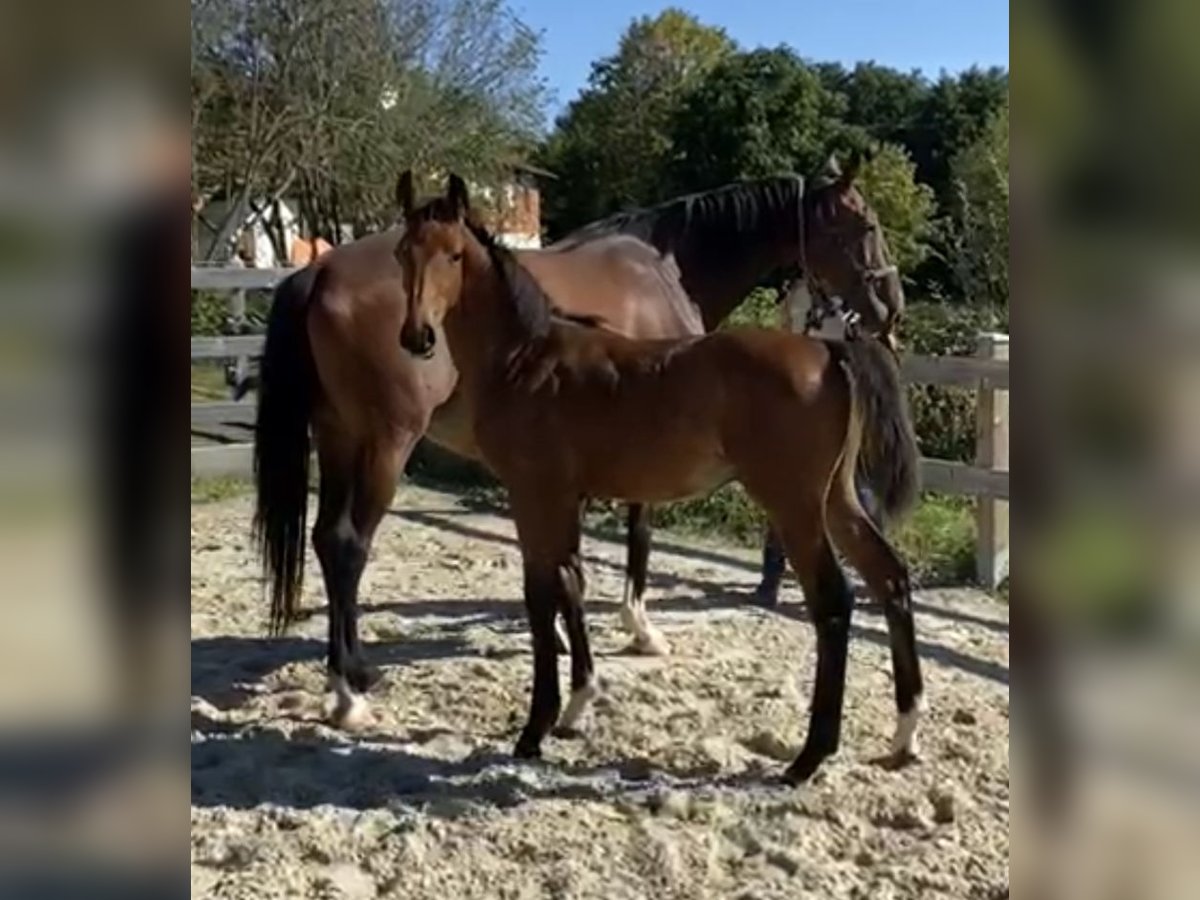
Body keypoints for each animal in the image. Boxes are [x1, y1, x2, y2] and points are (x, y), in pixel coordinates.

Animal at [255, 160, 907, 724]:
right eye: (867, 225)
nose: (890, 306)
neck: (666, 266)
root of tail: (318, 271)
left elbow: (567, 561)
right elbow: (636, 535)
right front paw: (637, 630)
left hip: (338, 436)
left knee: (326, 539)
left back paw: (348, 673)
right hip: (388, 442)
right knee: (350, 546)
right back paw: (350, 693)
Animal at [398, 174, 921, 782]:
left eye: (454, 256)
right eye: (402, 253)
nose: (416, 336)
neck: (527, 356)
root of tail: (830, 350)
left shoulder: (535, 494)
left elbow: (542, 594)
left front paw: (535, 729)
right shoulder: (562, 496)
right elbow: (569, 582)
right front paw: (574, 706)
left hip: (795, 504)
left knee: (835, 601)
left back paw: (810, 756)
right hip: (835, 499)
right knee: (889, 577)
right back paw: (904, 734)